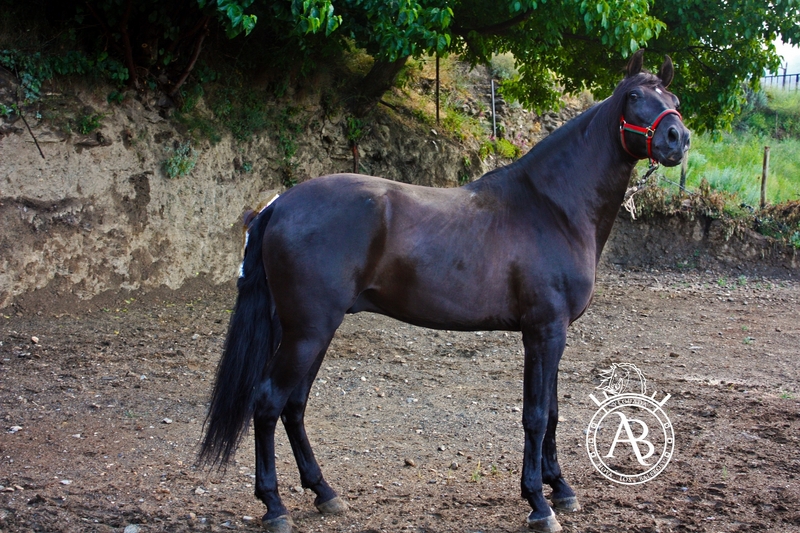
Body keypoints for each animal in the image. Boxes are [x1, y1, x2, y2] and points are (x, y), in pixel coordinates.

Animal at [199, 49, 690, 533]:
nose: (677, 138)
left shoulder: (553, 334)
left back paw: (324, 493)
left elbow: (551, 411)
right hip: (307, 331)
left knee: (294, 406)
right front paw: (538, 502)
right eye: (633, 97)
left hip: (311, 331)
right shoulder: (544, 331)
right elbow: (535, 415)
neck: (551, 208)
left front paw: (561, 489)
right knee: (268, 402)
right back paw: (274, 506)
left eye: (674, 98)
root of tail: (280, 204)